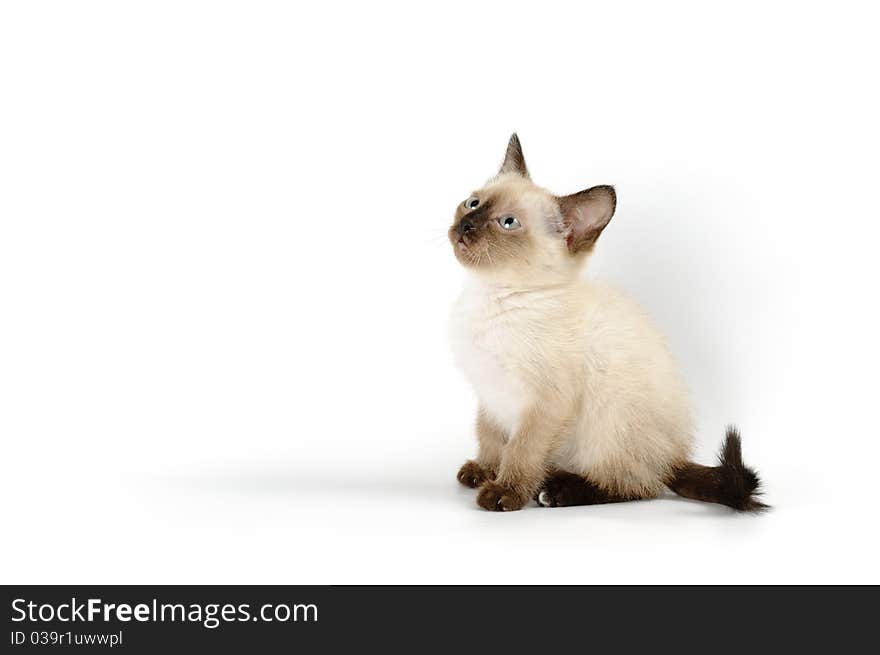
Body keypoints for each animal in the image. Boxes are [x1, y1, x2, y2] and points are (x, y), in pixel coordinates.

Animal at [446, 133, 764, 512]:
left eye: (508, 223)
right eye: (473, 203)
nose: (466, 225)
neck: (493, 296)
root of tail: (673, 457)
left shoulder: (544, 405)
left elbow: (521, 451)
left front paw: (503, 491)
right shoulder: (490, 395)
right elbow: (491, 438)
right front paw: (483, 471)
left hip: (609, 423)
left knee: (638, 485)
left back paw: (556, 491)